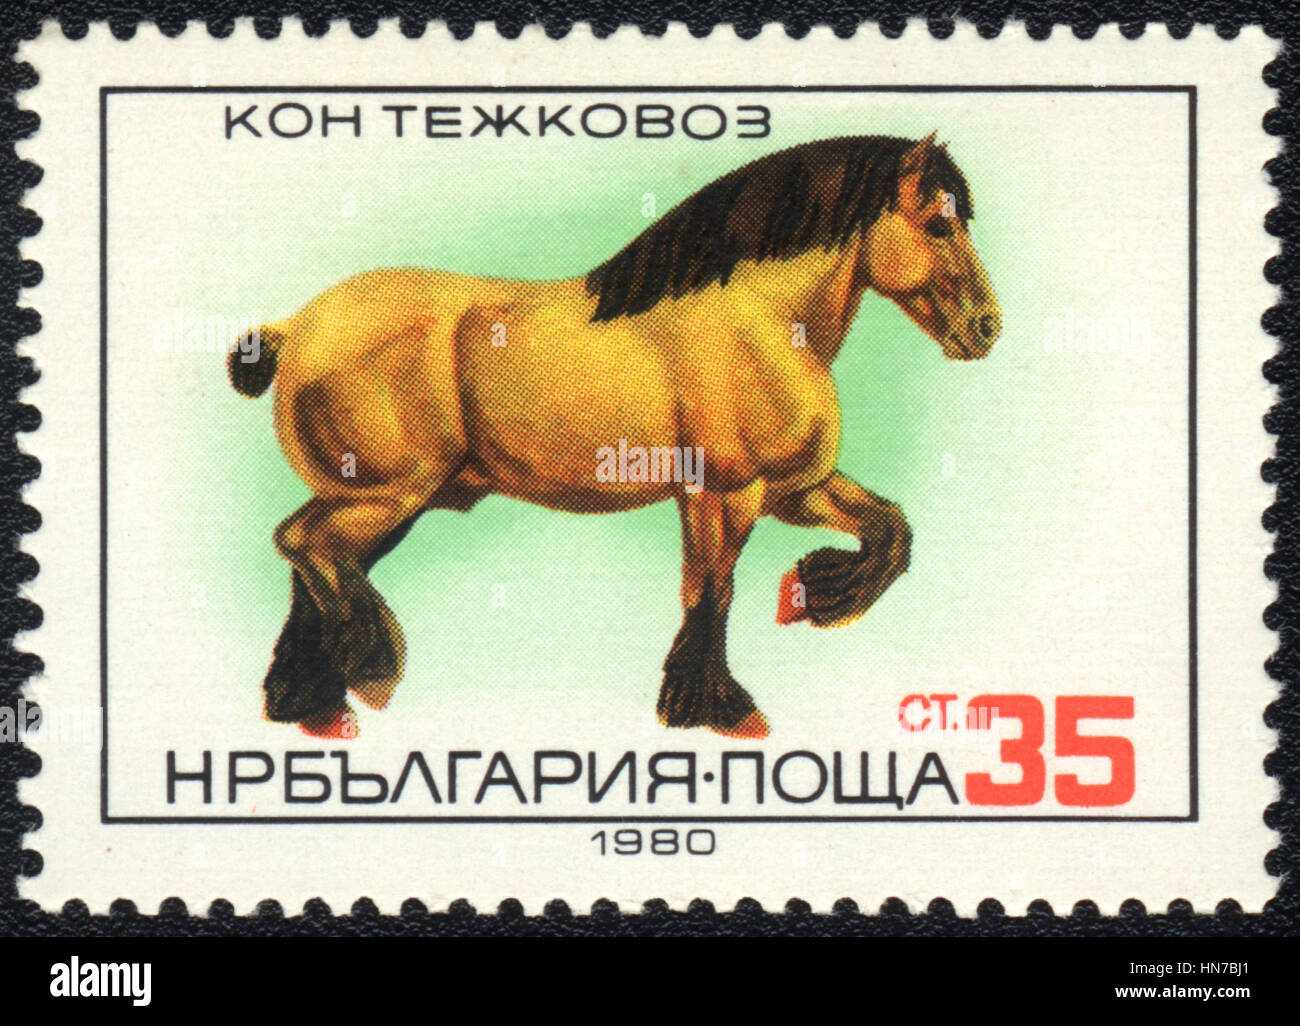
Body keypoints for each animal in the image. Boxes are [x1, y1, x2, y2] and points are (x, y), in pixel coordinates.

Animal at [227, 133, 1001, 740]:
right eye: (939, 224)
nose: (986, 327)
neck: (758, 320)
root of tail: (294, 328)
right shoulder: (725, 493)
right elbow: (712, 591)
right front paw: (716, 709)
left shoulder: (794, 489)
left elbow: (889, 531)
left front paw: (815, 590)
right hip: (389, 492)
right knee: (304, 545)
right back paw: (371, 667)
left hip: (384, 497)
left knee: (312, 564)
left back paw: (316, 703)